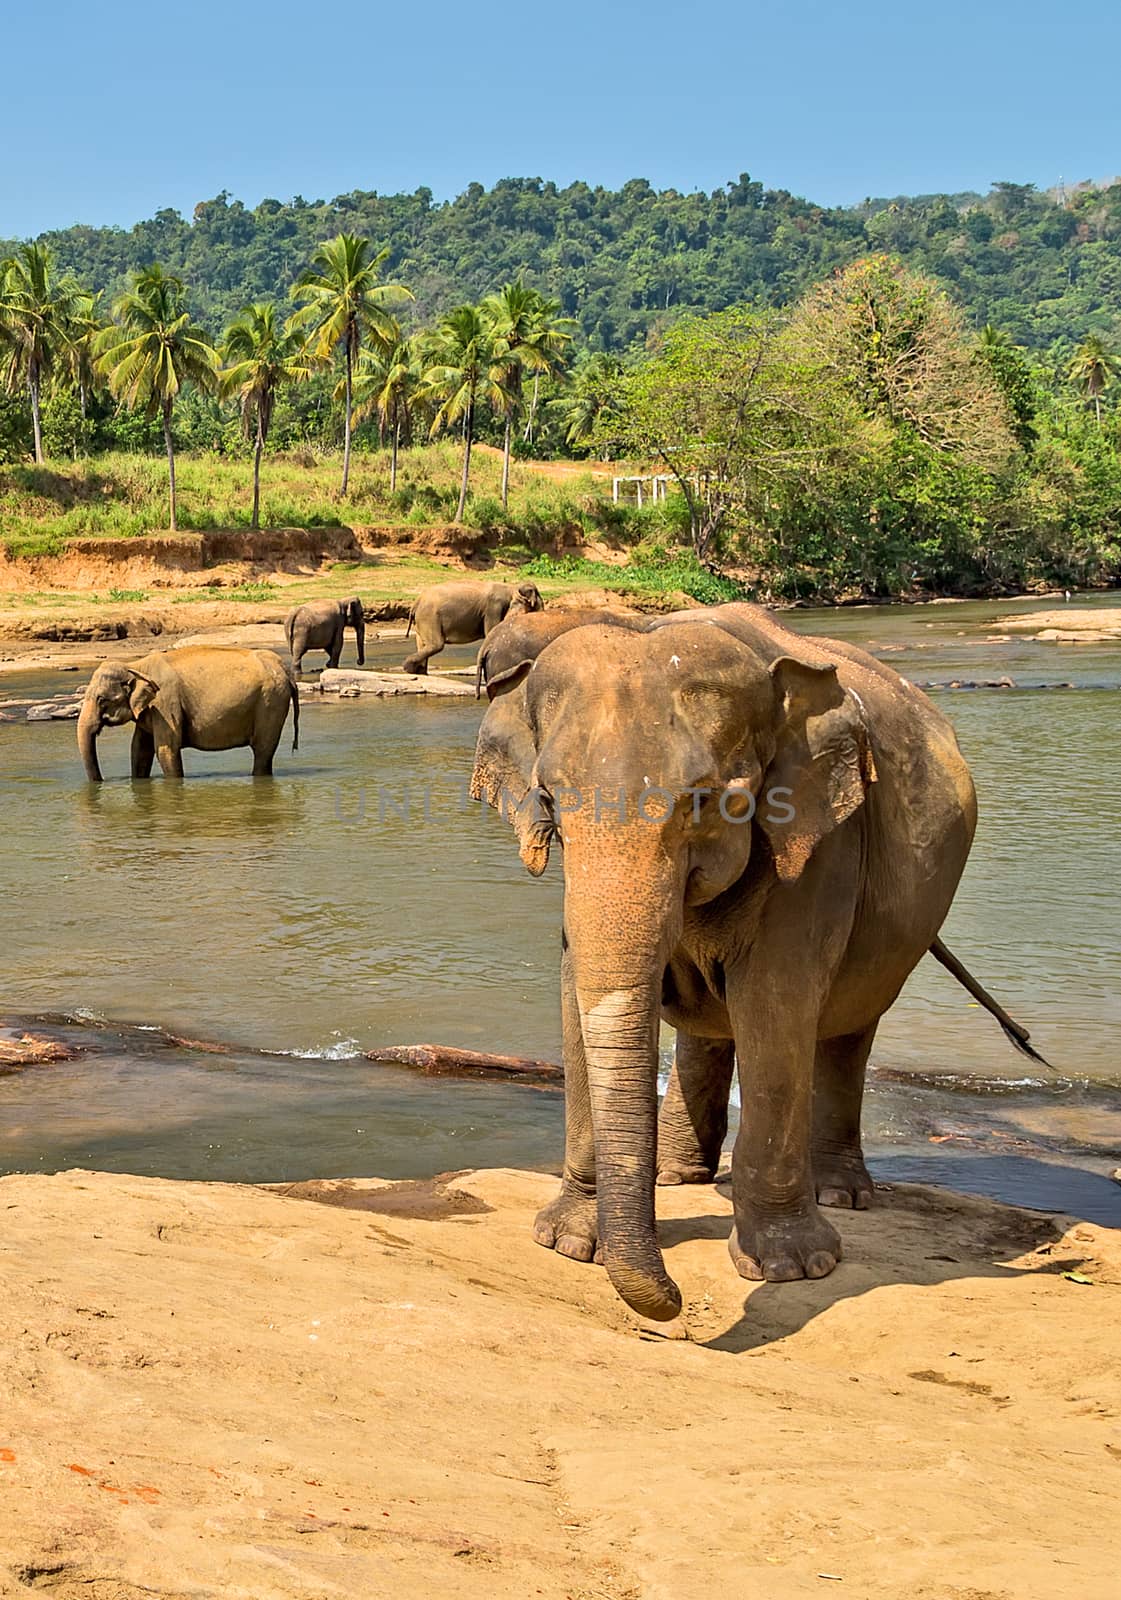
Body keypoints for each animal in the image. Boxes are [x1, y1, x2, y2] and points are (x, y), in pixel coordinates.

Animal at [76, 643, 299, 780]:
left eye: (101, 699)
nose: (102, 781)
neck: (135, 666)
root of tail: (283, 667)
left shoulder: (165, 703)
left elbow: (166, 749)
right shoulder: (151, 709)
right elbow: (139, 749)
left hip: (270, 702)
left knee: (263, 750)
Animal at [402, 579, 543, 672]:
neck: (512, 588)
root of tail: (416, 602)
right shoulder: (493, 608)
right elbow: (491, 631)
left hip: (422, 620)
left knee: (423, 644)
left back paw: (418, 672)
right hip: (429, 617)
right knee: (436, 645)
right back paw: (407, 667)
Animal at [470, 604, 1042, 1318]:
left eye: (706, 799)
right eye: (548, 800)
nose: (679, 1303)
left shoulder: (819, 844)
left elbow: (775, 1003)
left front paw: (791, 1268)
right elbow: (579, 994)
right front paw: (570, 1244)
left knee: (847, 1027)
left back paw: (841, 1194)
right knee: (711, 1030)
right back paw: (677, 1174)